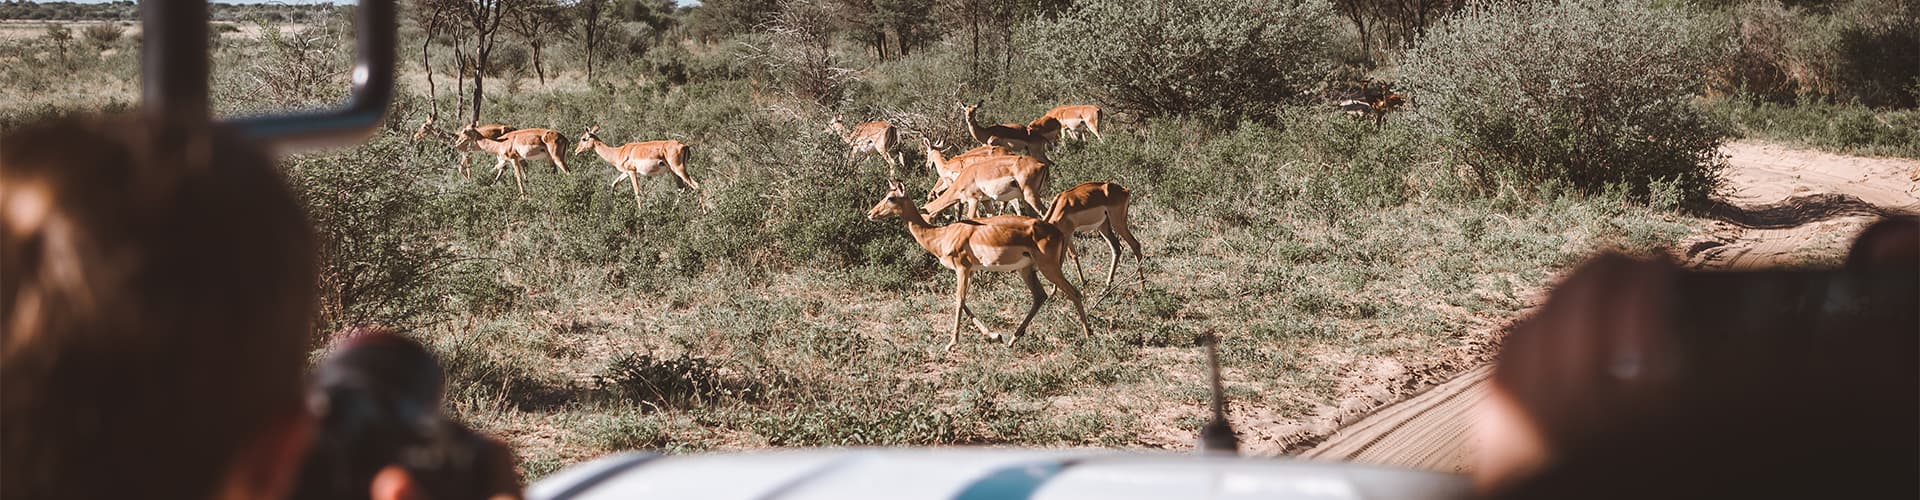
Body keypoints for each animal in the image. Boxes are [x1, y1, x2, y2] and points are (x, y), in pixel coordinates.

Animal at [867, 180, 1091, 351]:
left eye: (891, 197)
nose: (870, 213)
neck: (941, 236)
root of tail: (1057, 232)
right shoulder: (971, 270)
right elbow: (965, 302)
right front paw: (995, 335)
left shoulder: (962, 268)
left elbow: (959, 300)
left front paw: (951, 343)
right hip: (1026, 269)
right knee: (1040, 296)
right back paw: (1012, 339)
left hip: (1048, 268)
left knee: (1074, 292)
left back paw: (1088, 335)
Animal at [922, 141, 1052, 221]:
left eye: (927, 151)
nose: (927, 165)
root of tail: (1042, 165)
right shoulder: (985, 200)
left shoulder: (972, 199)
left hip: (1029, 195)